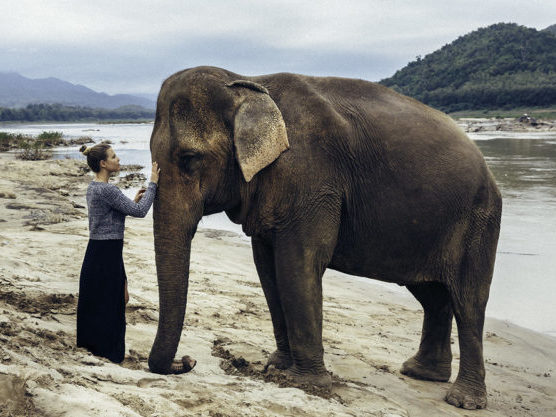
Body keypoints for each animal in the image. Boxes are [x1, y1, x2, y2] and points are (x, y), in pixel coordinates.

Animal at [149, 66, 504, 410]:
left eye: (189, 159)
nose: (188, 361)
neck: (248, 82)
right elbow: (267, 270)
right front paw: (278, 365)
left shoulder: (313, 179)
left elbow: (298, 265)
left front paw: (303, 382)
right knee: (433, 296)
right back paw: (421, 373)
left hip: (479, 220)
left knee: (469, 301)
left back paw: (463, 400)